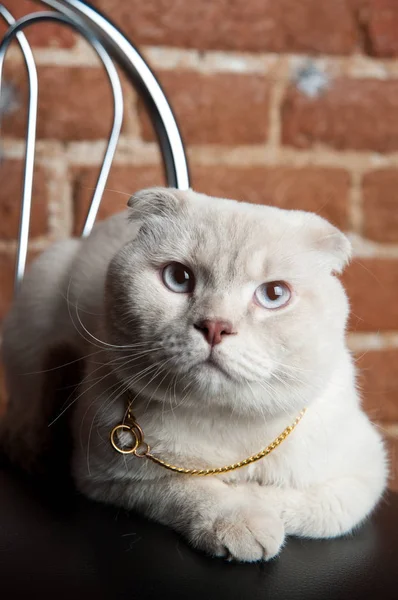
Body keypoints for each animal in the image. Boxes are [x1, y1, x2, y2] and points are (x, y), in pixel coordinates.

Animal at [0, 189, 386, 564]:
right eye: (178, 278)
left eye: (274, 294)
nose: (215, 326)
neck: (226, 426)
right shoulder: (107, 476)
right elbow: (190, 488)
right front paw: (242, 521)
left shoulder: (366, 476)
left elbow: (295, 503)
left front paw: (254, 504)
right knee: (23, 430)